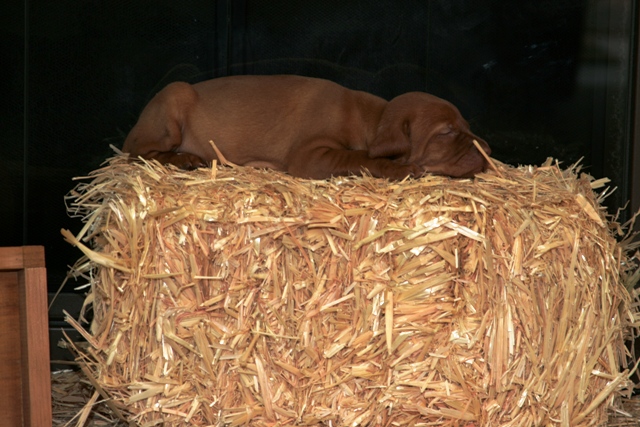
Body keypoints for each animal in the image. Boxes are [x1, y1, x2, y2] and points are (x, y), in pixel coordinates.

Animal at [121, 74, 490, 180]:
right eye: (446, 132)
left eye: (465, 125)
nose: (487, 150)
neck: (369, 117)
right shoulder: (310, 155)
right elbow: (358, 157)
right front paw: (398, 169)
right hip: (174, 98)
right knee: (138, 154)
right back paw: (183, 159)